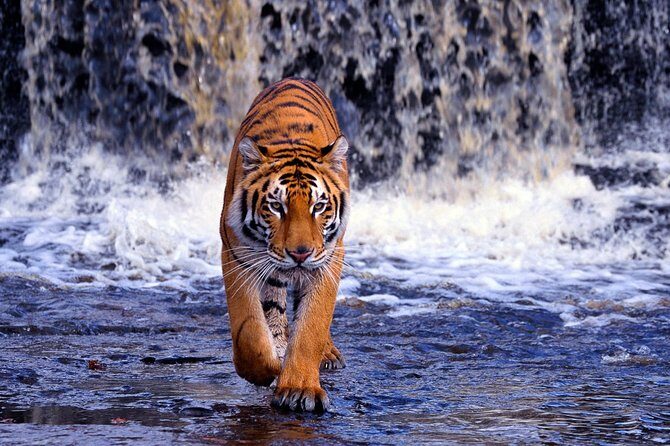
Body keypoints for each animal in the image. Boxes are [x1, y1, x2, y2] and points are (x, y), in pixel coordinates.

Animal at [219, 77, 350, 412]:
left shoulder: (328, 260)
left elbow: (312, 325)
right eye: (276, 206)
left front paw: (299, 388)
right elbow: (249, 330)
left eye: (319, 206)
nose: (300, 254)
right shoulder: (237, 255)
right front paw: (266, 369)